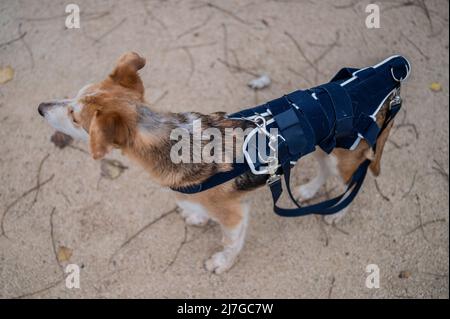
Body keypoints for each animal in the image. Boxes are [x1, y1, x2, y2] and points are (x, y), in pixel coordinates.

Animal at [38, 52, 398, 276]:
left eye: (74, 116)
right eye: (73, 99)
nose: (40, 108)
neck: (173, 140)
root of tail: (387, 77)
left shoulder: (235, 215)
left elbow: (230, 242)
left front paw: (222, 263)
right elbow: (197, 208)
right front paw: (196, 215)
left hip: (345, 156)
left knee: (351, 183)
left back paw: (336, 212)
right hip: (325, 148)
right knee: (323, 172)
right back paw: (309, 191)